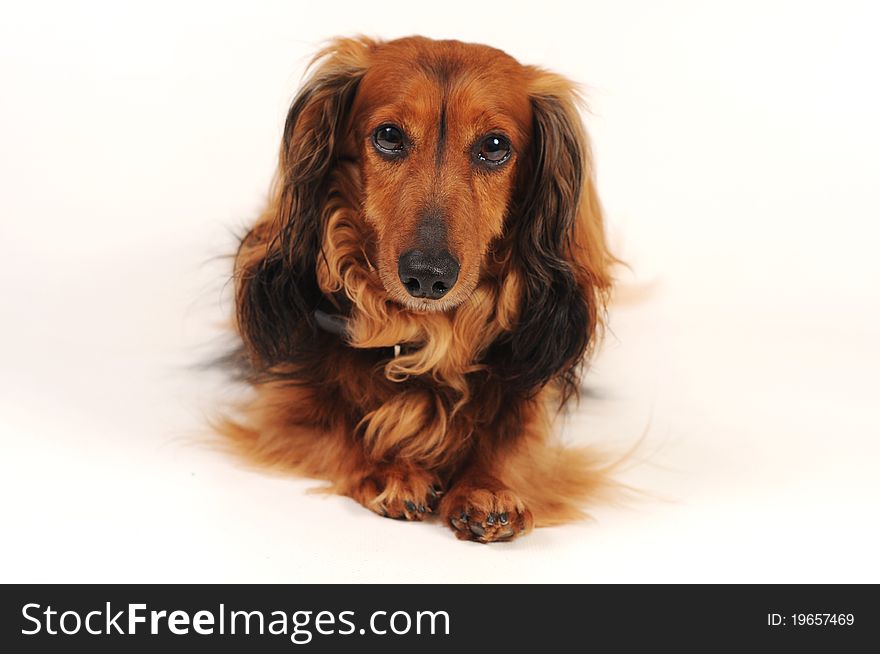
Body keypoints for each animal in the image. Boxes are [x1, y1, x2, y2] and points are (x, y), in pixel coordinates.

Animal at [223, 36, 616, 544]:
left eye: (495, 146)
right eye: (389, 136)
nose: (427, 276)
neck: (428, 333)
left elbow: (512, 444)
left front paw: (487, 487)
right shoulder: (284, 407)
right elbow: (335, 428)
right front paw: (390, 468)